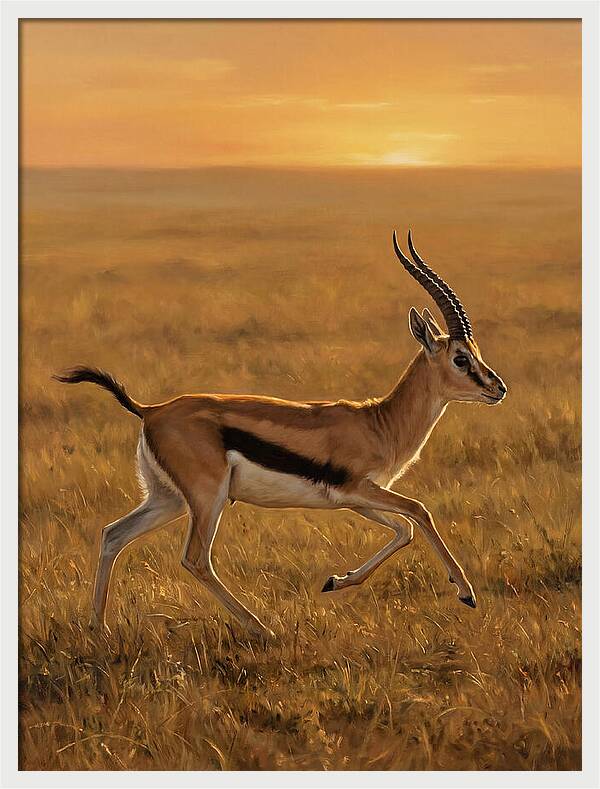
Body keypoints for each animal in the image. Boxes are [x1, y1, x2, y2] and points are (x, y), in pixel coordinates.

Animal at [55, 231, 507, 640]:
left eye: (477, 353)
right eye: (460, 358)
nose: (498, 388)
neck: (379, 422)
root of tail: (151, 410)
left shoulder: (355, 499)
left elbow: (404, 530)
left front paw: (335, 581)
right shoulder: (359, 489)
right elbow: (419, 511)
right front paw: (466, 593)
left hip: (168, 499)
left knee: (113, 535)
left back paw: (98, 628)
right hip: (207, 498)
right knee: (195, 559)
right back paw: (262, 628)